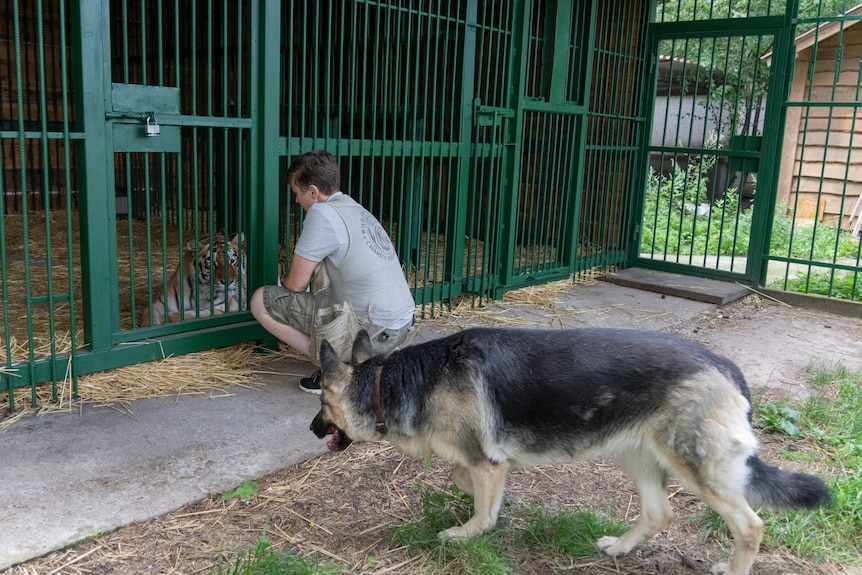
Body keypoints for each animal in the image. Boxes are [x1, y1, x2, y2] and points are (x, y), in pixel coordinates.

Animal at [310, 328, 832, 575]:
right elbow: (463, 479)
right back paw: (620, 547)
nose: (314, 429)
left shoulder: (486, 462)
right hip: (638, 456)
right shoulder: (487, 463)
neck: (389, 381)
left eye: (321, 406)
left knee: (751, 525)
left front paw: (469, 532)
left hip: (697, 470)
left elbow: (478, 508)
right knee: (659, 513)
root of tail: (724, 365)